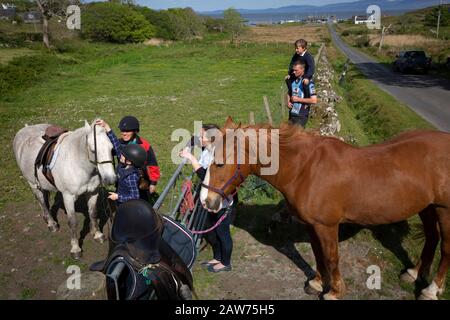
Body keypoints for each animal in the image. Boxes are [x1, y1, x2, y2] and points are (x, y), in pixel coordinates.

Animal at [13, 121, 116, 258]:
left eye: (111, 148)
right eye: (93, 150)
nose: (110, 179)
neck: (79, 164)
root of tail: (25, 129)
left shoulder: (93, 192)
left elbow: (93, 213)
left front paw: (97, 235)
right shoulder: (68, 197)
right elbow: (72, 222)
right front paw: (76, 249)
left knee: (44, 200)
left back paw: (46, 218)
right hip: (33, 184)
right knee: (41, 201)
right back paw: (51, 224)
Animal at [201, 117, 450, 300]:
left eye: (219, 163)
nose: (206, 201)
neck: (305, 169)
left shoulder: (327, 226)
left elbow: (331, 257)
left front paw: (334, 292)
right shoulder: (313, 225)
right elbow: (318, 254)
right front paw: (317, 282)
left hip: (443, 209)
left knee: (446, 248)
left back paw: (431, 290)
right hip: (427, 207)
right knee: (432, 238)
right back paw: (414, 273)